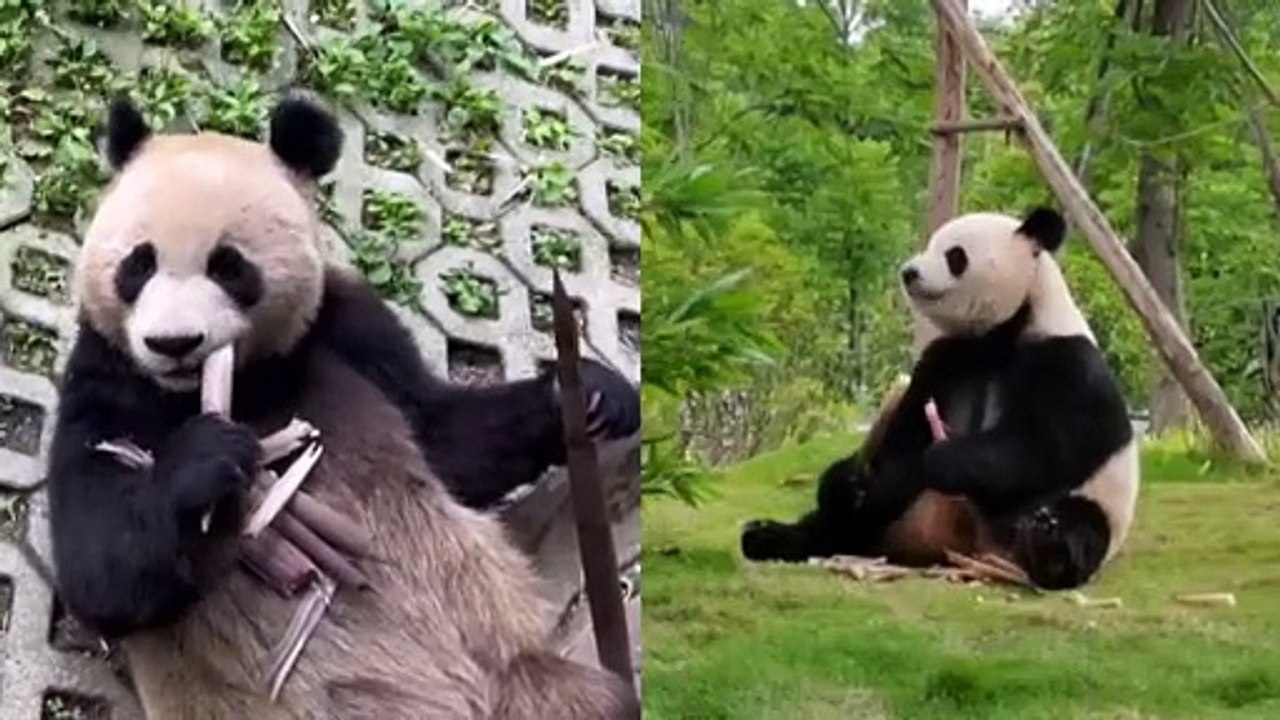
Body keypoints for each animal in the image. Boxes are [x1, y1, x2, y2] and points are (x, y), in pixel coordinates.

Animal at [46, 92, 641, 719]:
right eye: (139, 264)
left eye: (229, 266)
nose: (174, 343)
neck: (246, 379)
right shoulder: (108, 377)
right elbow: (101, 565)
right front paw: (206, 459)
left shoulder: (343, 326)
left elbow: (447, 440)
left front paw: (594, 396)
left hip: (512, 659)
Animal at [740, 207, 1140, 591]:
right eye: (930, 244)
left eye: (955, 255)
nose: (909, 272)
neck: (999, 334)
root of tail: (954, 550)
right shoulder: (946, 360)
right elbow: (904, 439)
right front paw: (849, 483)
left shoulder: (1066, 364)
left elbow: (1049, 450)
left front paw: (944, 458)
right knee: (845, 524)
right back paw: (771, 533)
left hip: (1089, 506)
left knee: (1081, 522)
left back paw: (1050, 543)